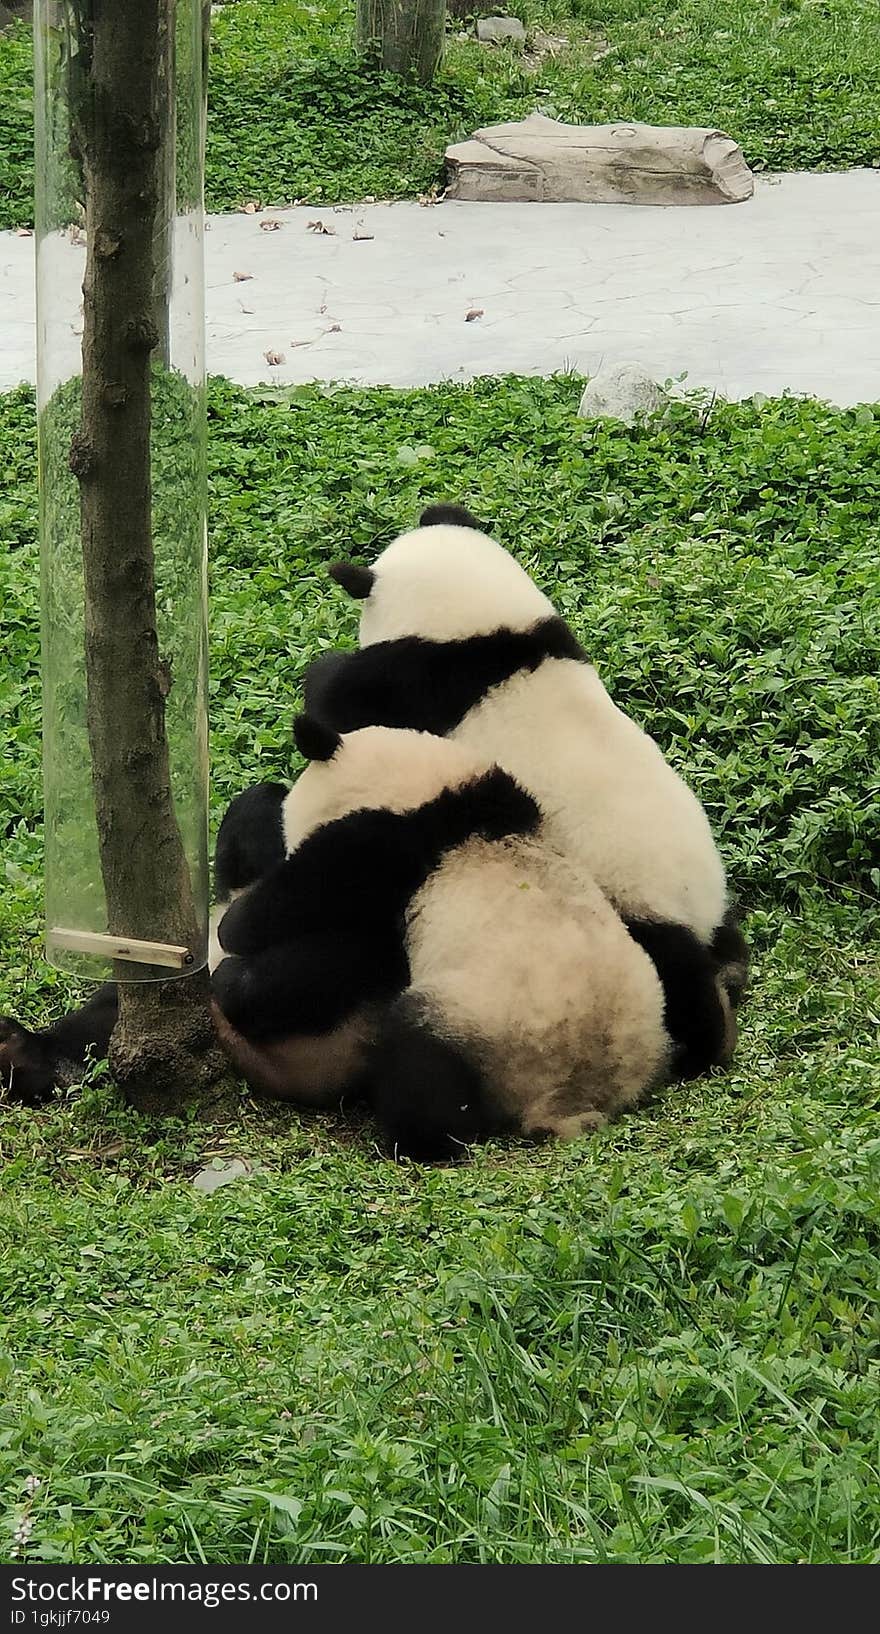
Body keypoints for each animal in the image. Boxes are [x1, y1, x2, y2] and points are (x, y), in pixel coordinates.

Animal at [213, 715, 721, 1163]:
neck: (440, 790)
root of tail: (570, 1102)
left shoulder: (386, 841)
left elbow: (312, 893)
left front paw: (234, 928)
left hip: (484, 1028)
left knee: (422, 1063)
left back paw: (416, 1143)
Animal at [306, 506, 747, 1071]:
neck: (491, 632)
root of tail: (696, 916)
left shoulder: (420, 680)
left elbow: (347, 703)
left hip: (630, 904)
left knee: (678, 981)